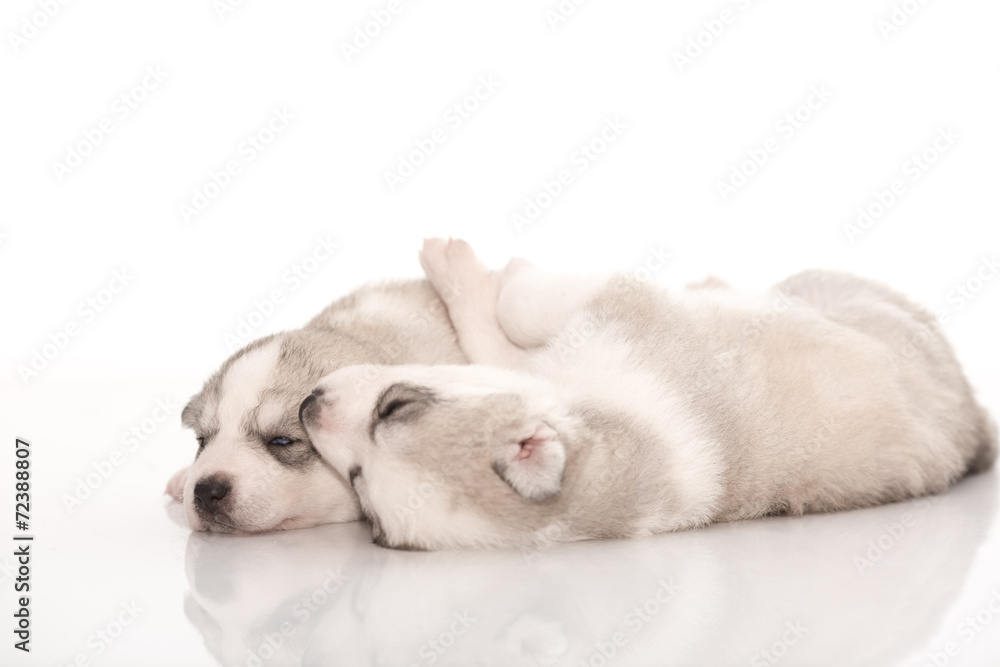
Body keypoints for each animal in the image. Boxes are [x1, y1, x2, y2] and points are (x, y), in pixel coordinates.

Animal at [300, 239, 996, 548]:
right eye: (357, 482)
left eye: (396, 407)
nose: (306, 405)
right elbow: (501, 335)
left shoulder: (614, 309)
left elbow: (519, 309)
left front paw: (475, 267)